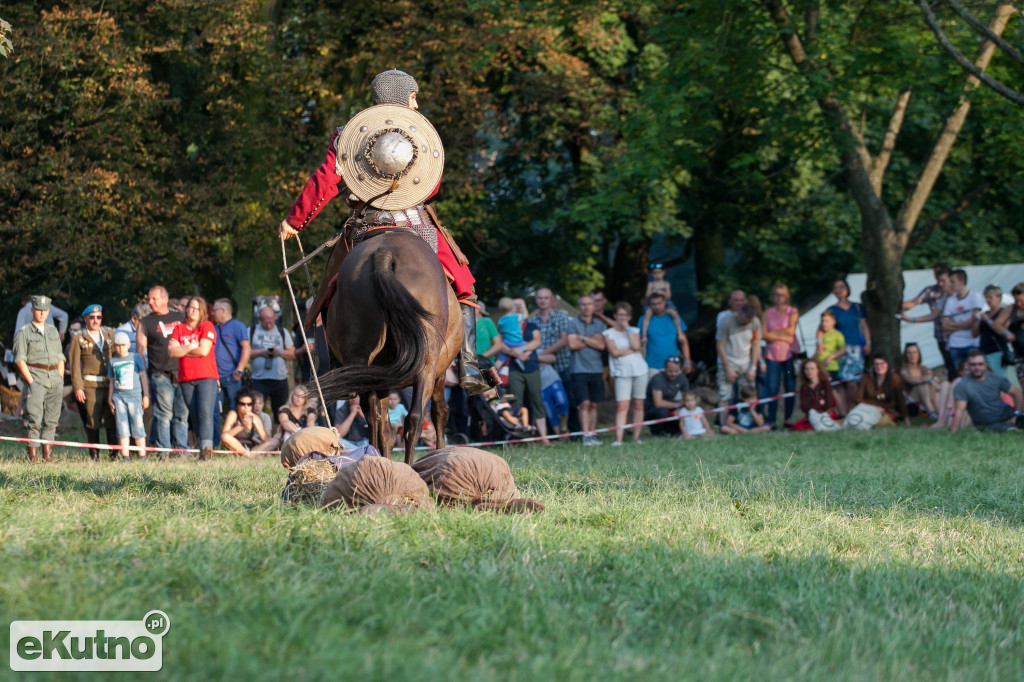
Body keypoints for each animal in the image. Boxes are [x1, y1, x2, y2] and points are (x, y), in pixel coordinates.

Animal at [315, 229, 460, 462]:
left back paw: (371, 457)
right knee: (415, 418)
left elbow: (385, 427)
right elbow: (440, 412)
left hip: (363, 361)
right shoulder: (440, 372)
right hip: (427, 364)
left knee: (373, 418)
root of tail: (385, 254)